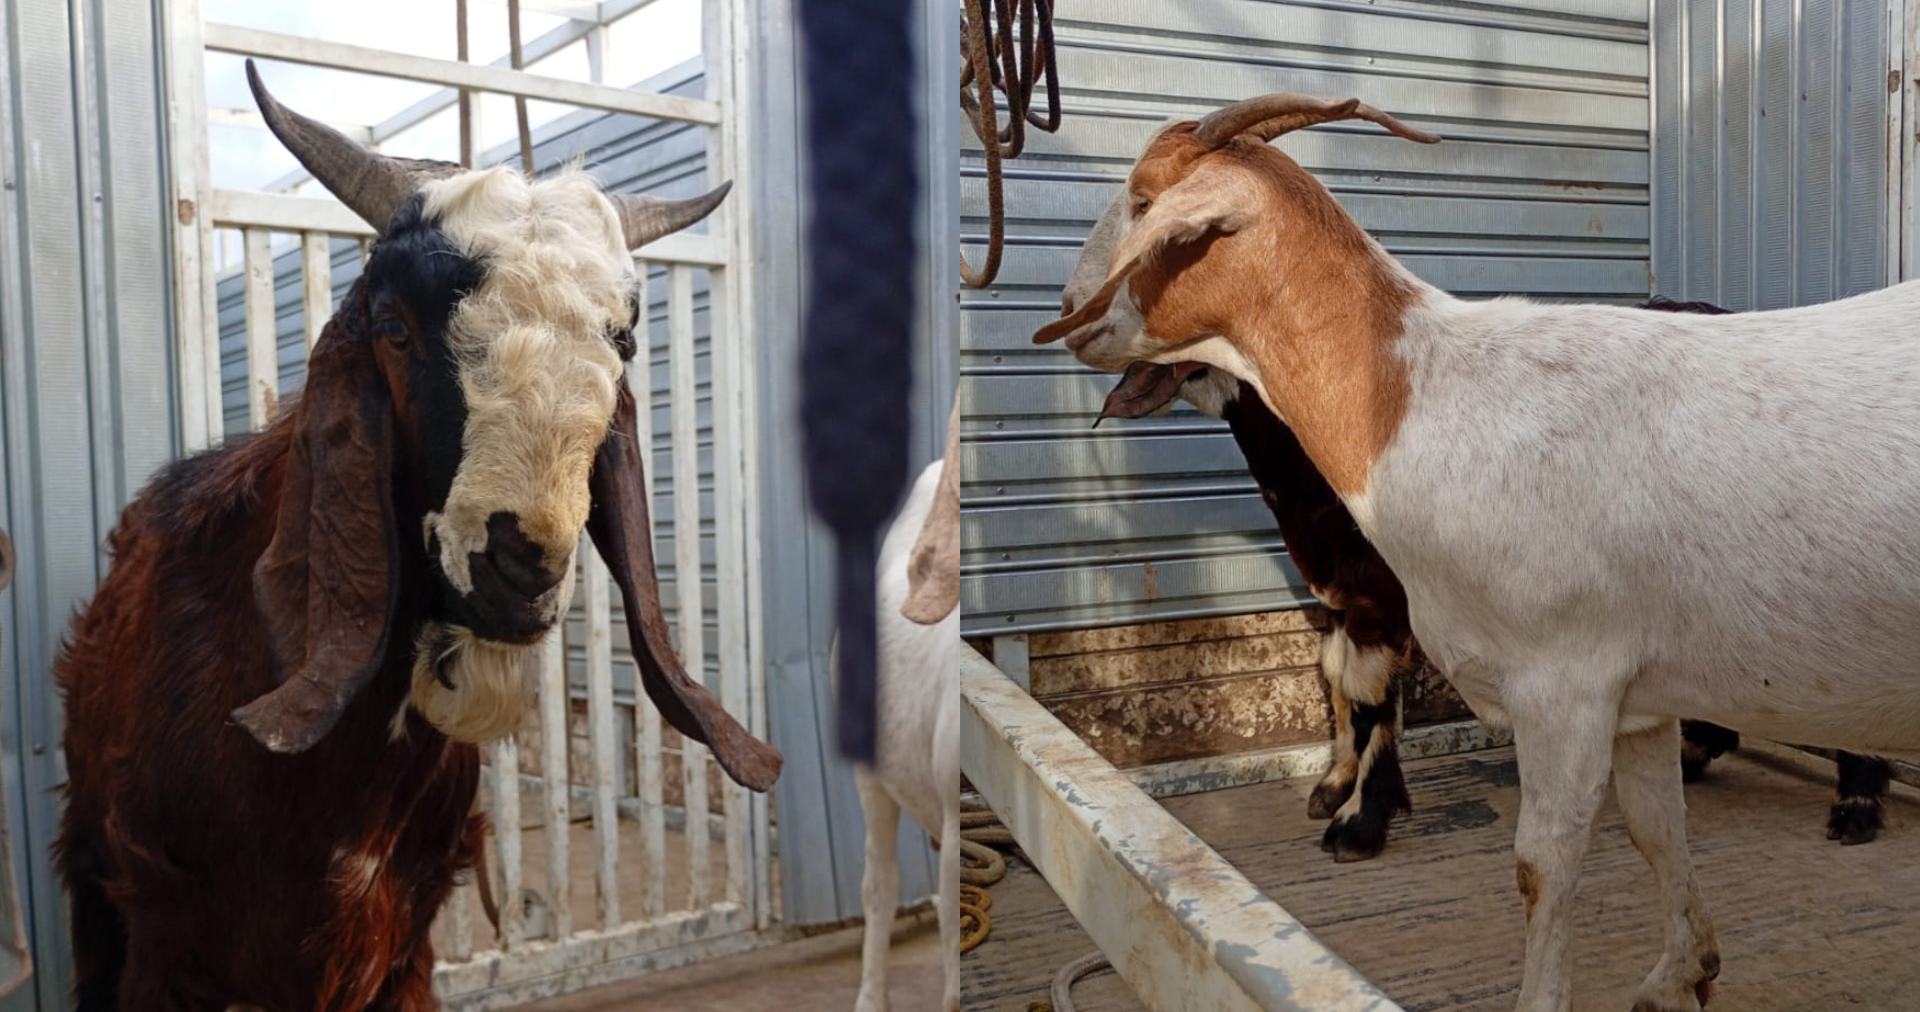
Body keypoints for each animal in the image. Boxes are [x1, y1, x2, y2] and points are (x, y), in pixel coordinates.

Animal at [1034, 92, 1920, 1012]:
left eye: (1142, 200)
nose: (1069, 304)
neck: (1421, 394)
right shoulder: (1636, 693)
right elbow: (1655, 828)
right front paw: (1681, 972)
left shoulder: (1562, 682)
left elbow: (1543, 864)